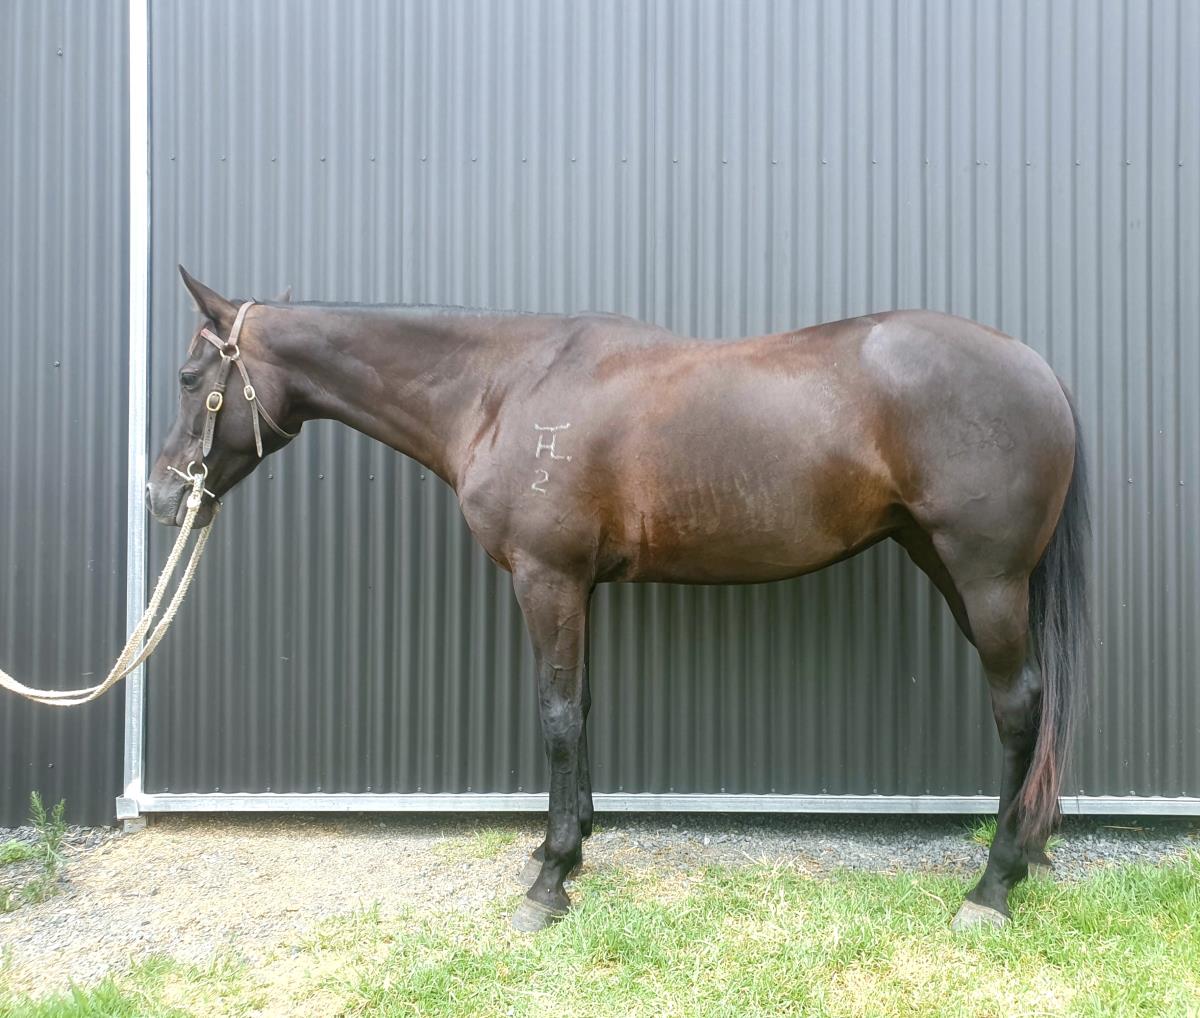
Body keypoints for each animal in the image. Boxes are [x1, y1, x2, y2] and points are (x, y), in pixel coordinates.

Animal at [147, 267, 1089, 933]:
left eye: (192, 377)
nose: (161, 496)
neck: (501, 388)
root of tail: (1037, 368)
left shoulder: (547, 578)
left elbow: (558, 716)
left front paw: (550, 880)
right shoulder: (577, 587)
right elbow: (584, 707)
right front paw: (565, 845)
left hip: (985, 579)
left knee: (1017, 708)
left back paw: (992, 887)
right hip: (950, 568)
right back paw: (1028, 853)